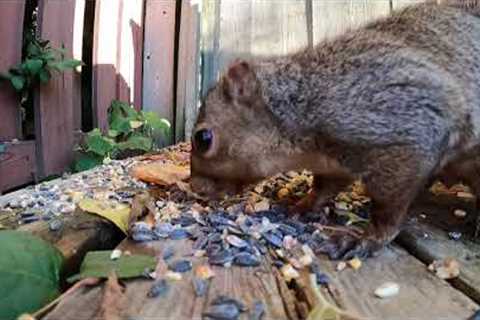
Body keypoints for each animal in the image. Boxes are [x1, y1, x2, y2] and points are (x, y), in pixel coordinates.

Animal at [189, 1, 480, 258]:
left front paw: (367, 238)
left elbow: (389, 208)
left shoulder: (403, 130)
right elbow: (324, 187)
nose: (195, 187)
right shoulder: (334, 164)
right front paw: (302, 205)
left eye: (203, 138)